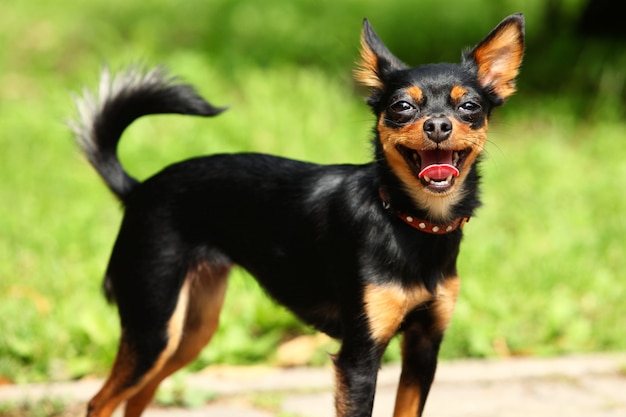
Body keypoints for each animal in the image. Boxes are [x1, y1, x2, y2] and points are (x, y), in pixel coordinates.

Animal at [70, 13, 520, 416]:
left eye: (470, 106)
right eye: (402, 107)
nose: (438, 125)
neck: (410, 222)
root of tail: (139, 188)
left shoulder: (425, 348)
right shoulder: (358, 359)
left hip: (189, 332)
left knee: (136, 399)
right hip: (154, 327)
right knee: (100, 402)